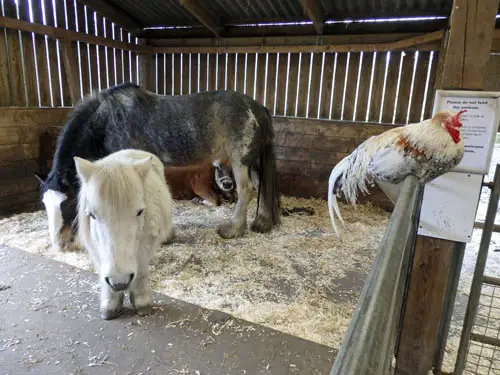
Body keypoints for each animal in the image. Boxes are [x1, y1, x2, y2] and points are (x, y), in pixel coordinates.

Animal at [74, 150, 174, 320]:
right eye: (92, 215)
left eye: (140, 211)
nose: (119, 282)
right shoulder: (95, 250)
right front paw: (110, 304)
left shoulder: (144, 248)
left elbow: (140, 271)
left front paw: (142, 302)